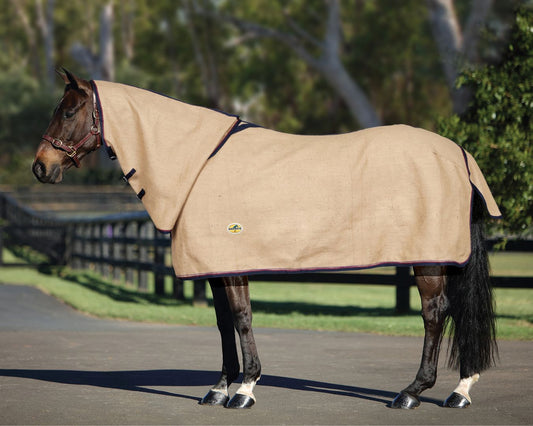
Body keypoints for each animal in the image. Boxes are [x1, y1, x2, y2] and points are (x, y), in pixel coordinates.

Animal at [32, 70, 498, 410]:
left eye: (69, 112)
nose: (40, 167)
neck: (197, 164)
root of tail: (458, 154)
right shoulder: (214, 265)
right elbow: (222, 322)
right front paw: (219, 388)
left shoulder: (232, 264)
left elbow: (241, 318)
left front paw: (245, 389)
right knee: (458, 310)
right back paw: (460, 390)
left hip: (429, 257)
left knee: (436, 313)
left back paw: (412, 393)